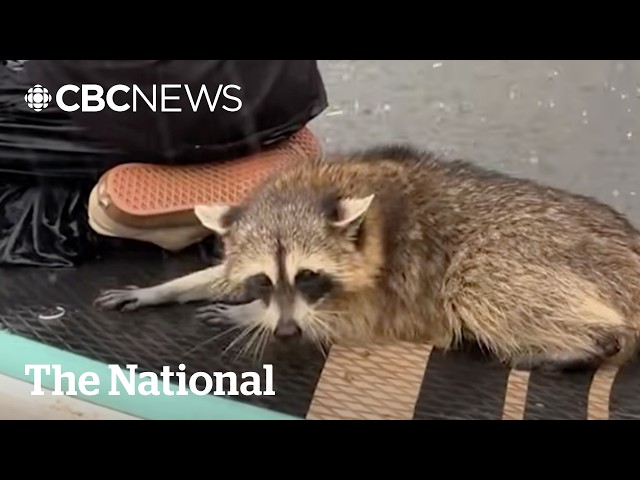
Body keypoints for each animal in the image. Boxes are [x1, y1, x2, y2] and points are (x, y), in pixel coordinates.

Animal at [94, 145, 640, 371]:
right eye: (265, 280)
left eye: (308, 276)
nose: (285, 330)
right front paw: (170, 288)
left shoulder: (398, 289)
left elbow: (353, 323)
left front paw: (245, 315)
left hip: (540, 252)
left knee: (475, 280)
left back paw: (587, 344)